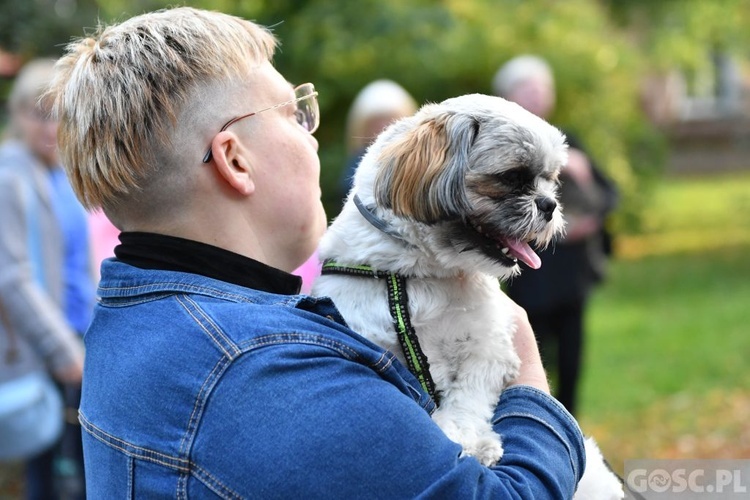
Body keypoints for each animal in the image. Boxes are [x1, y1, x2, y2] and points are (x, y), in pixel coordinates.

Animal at [312, 94, 624, 500]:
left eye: (551, 181)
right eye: (512, 177)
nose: (549, 205)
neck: (419, 275)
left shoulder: (488, 348)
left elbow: (467, 398)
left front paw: (468, 440)